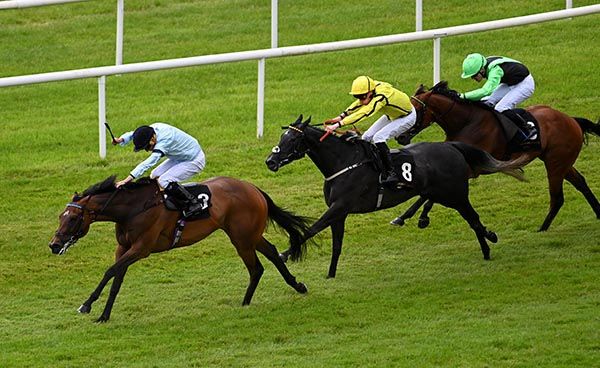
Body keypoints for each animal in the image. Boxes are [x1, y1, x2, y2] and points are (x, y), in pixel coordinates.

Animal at [49, 175, 312, 322]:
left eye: (74, 218)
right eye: (61, 216)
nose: (54, 244)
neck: (133, 208)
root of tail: (253, 188)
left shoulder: (141, 249)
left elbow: (110, 272)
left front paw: (86, 305)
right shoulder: (123, 248)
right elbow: (116, 280)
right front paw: (104, 315)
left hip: (242, 238)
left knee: (256, 268)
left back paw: (245, 303)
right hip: (249, 235)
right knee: (273, 254)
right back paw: (297, 286)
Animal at [264, 115, 528, 276]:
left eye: (292, 139)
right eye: (281, 137)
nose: (270, 161)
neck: (344, 162)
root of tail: (451, 146)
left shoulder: (339, 207)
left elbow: (312, 229)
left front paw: (285, 253)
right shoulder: (340, 212)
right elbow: (336, 245)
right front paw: (330, 275)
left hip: (456, 195)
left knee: (473, 219)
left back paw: (488, 243)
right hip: (439, 192)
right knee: (453, 211)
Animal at [394, 81, 600, 231]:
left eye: (414, 111)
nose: (400, 137)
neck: (466, 123)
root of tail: (571, 119)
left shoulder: (472, 169)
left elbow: (431, 194)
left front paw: (419, 218)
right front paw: (405, 217)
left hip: (555, 163)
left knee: (557, 197)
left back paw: (542, 229)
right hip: (560, 161)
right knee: (580, 182)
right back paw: (597, 213)